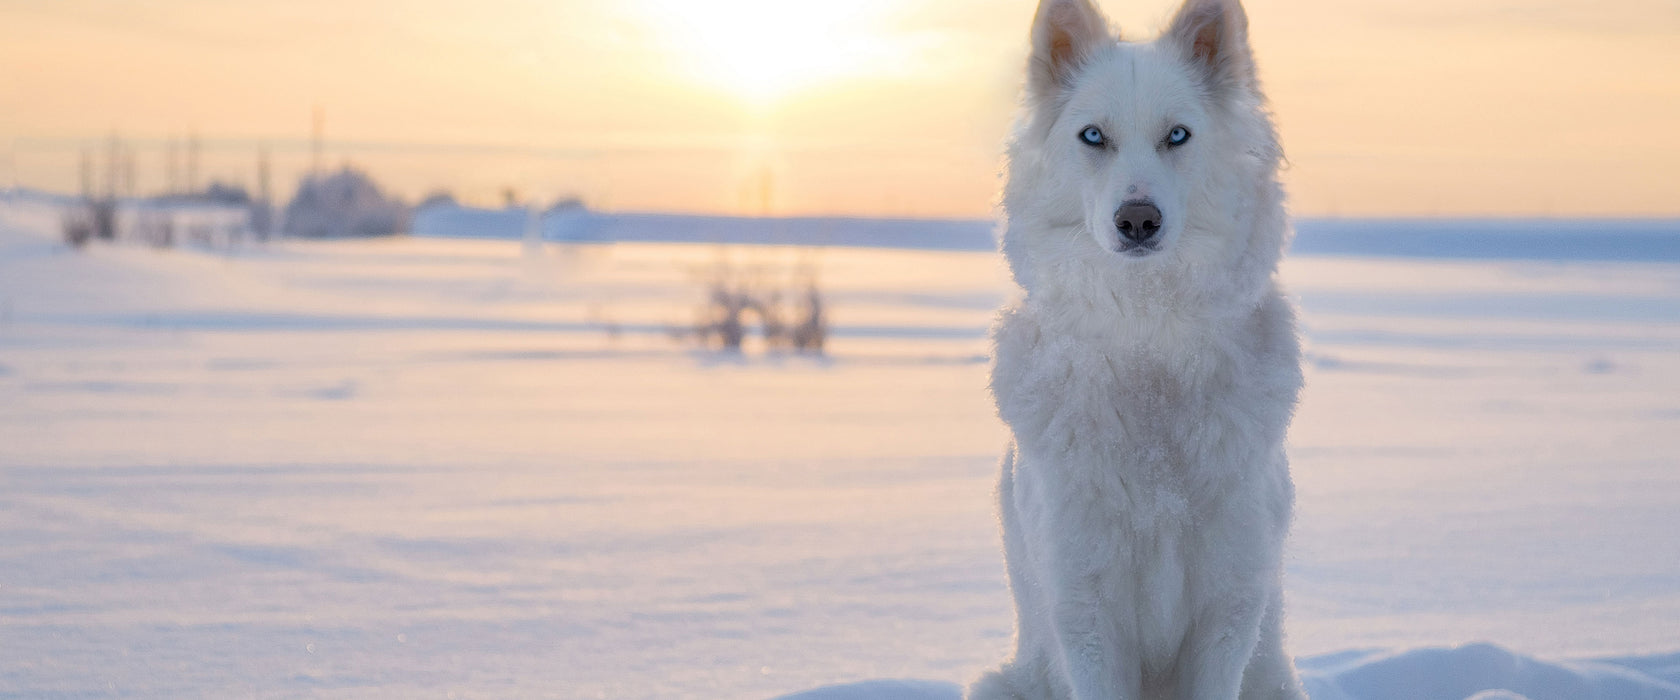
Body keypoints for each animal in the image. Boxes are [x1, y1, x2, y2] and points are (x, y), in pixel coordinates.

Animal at [974, 1, 1310, 698]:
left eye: (1177, 136)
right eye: (1092, 136)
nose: (1137, 220)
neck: (1148, 340)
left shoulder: (1229, 606)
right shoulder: (1084, 608)